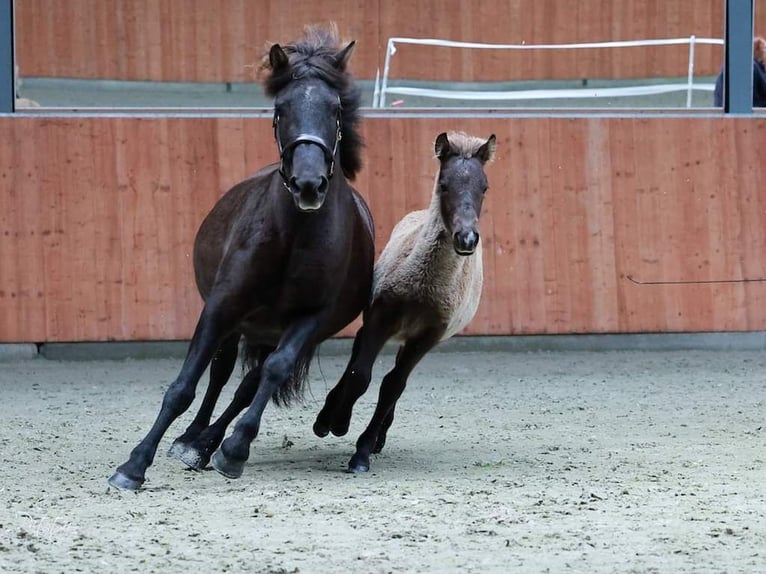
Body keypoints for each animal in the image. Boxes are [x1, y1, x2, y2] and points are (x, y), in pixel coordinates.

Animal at [109, 25, 376, 490]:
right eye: (281, 109)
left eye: (335, 109)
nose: (309, 184)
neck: (293, 236)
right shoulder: (221, 306)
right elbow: (184, 385)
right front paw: (134, 464)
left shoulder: (310, 319)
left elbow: (272, 373)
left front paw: (235, 449)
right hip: (239, 323)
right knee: (219, 374)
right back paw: (191, 440)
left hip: (271, 330)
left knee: (250, 382)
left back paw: (208, 444)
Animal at [314, 133, 498, 474]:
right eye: (444, 185)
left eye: (484, 187)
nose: (466, 239)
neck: (423, 288)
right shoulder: (380, 317)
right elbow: (360, 375)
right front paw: (335, 422)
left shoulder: (427, 336)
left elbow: (392, 386)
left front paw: (362, 451)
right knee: (357, 352)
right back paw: (332, 414)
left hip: (409, 339)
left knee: (394, 379)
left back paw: (378, 439)